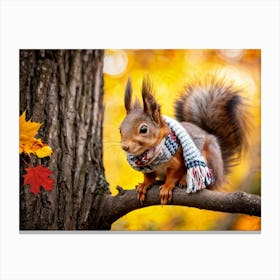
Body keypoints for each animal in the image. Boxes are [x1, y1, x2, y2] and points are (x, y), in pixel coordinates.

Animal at [120, 75, 249, 205]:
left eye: (144, 129)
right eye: (120, 129)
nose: (124, 147)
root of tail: (220, 175)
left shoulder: (178, 162)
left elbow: (174, 174)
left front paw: (167, 187)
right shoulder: (149, 169)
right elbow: (149, 177)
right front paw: (144, 185)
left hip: (210, 159)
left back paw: (184, 182)